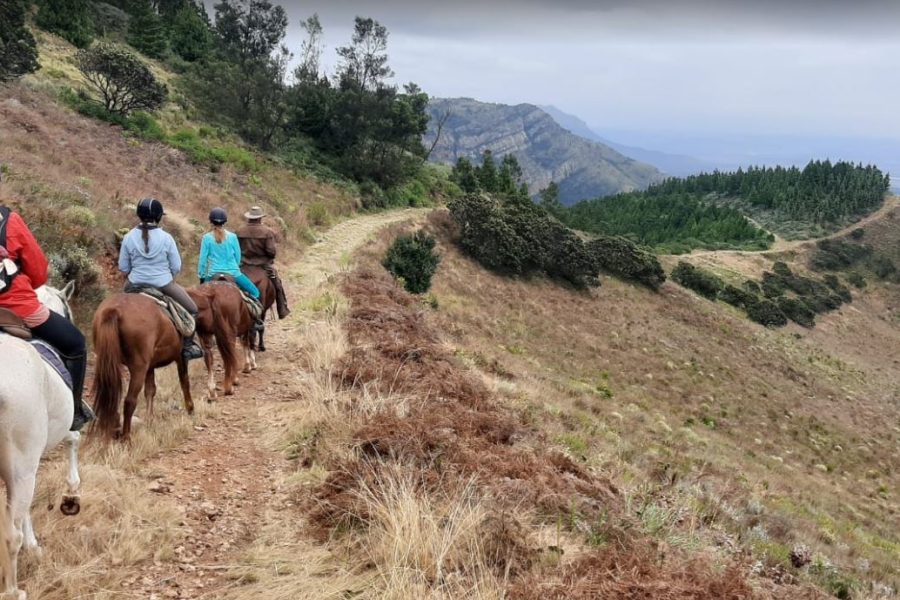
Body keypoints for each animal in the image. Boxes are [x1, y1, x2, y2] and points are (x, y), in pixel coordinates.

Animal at [0, 283, 83, 600]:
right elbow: (74, 439)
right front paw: (72, 492)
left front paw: (33, 545)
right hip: (21, 467)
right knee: (9, 536)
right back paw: (13, 591)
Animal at [91, 292, 194, 441]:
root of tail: (114, 310)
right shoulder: (180, 357)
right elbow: (184, 381)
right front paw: (190, 408)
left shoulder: (150, 367)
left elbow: (150, 391)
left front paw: (149, 420)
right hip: (138, 368)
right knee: (129, 401)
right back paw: (126, 437)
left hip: (109, 363)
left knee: (111, 397)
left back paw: (114, 430)